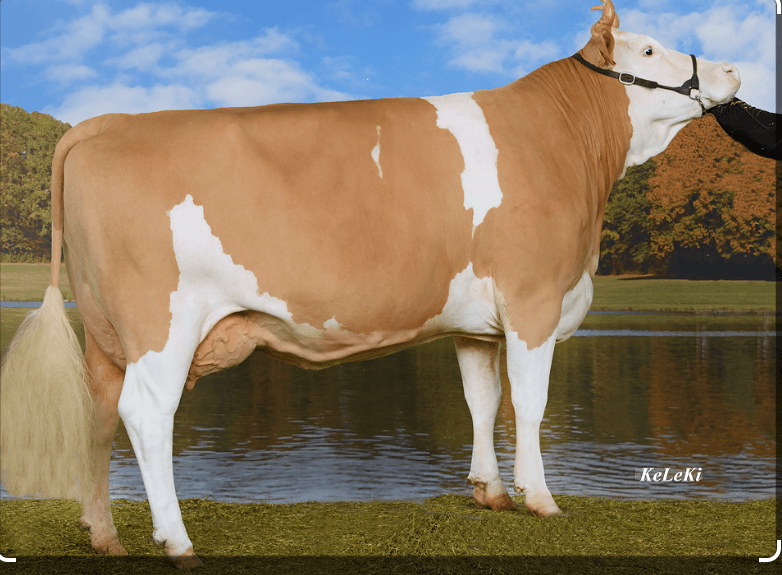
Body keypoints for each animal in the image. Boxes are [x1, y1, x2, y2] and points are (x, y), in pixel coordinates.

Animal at [0, 0, 740, 568]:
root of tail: (106, 122)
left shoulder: (478, 321)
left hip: (104, 330)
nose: (732, 68)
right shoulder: (534, 301)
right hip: (162, 324)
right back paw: (178, 542)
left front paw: (489, 492)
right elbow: (529, 406)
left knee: (99, 411)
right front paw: (541, 500)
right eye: (648, 47)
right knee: (146, 414)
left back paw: (104, 535)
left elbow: (481, 400)